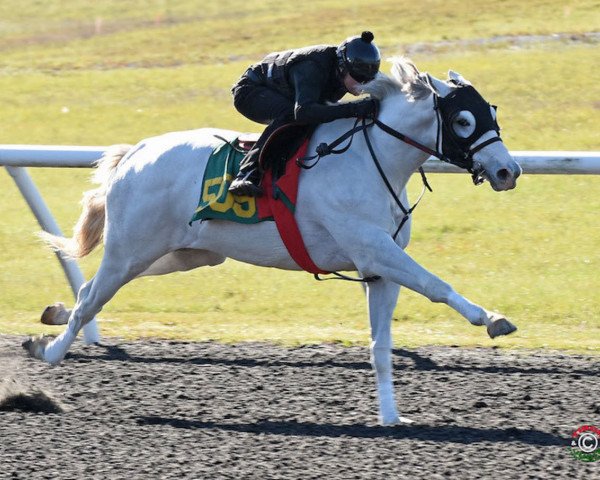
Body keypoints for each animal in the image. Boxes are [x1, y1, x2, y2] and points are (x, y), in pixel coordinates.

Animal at [23, 58, 520, 426]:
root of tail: (136, 153)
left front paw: (391, 418)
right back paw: (50, 353)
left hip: (186, 252)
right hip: (131, 247)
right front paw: (493, 319)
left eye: (493, 112)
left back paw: (53, 316)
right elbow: (436, 285)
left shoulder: (379, 269)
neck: (371, 158)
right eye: (463, 119)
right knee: (93, 296)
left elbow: (380, 347)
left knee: (96, 290)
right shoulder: (374, 248)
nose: (507, 171)